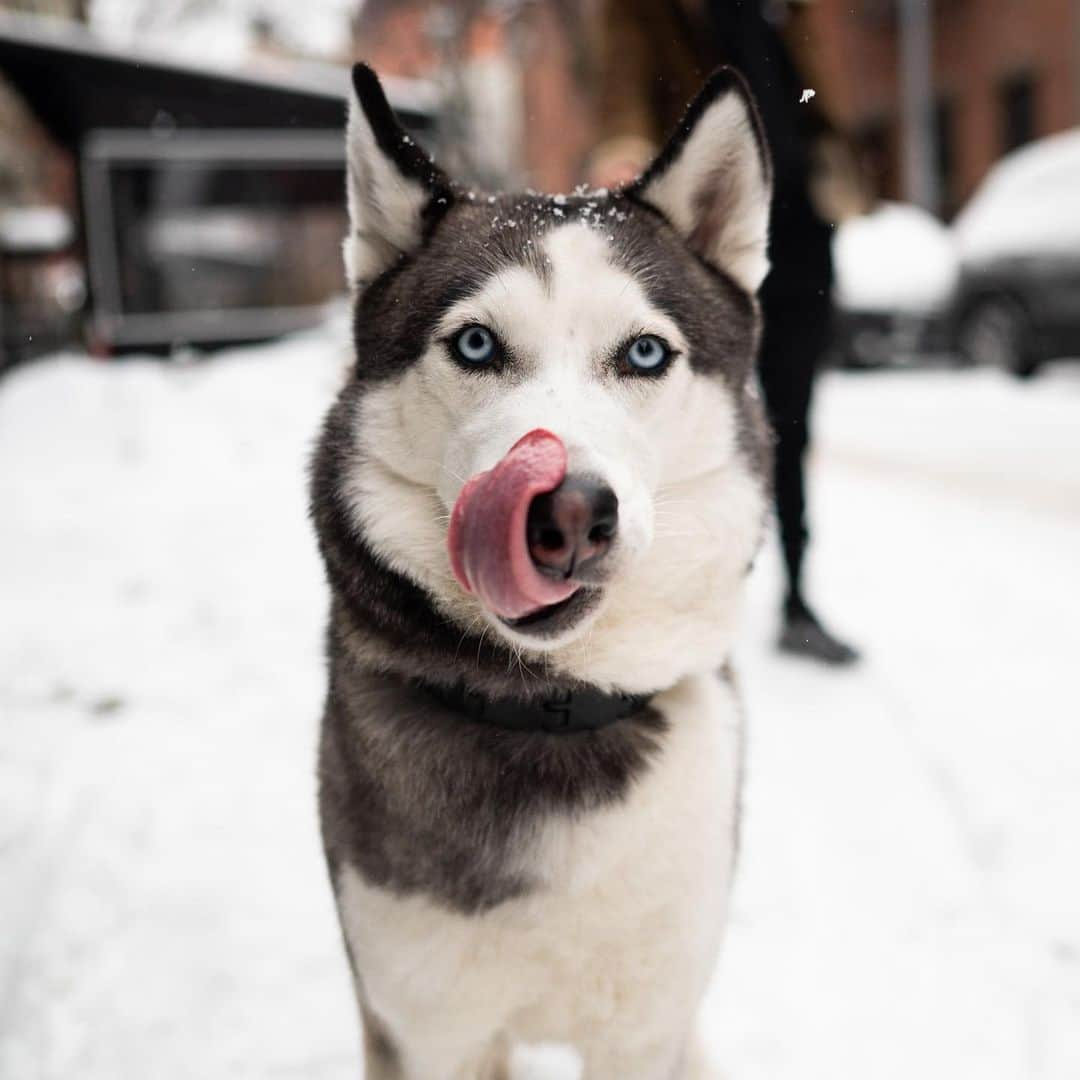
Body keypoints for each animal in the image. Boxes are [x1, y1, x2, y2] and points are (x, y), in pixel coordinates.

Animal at [313, 63, 777, 1075]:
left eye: (644, 352)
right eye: (476, 343)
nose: (567, 516)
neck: (556, 706)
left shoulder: (643, 1030)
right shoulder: (427, 1027)